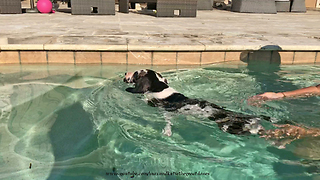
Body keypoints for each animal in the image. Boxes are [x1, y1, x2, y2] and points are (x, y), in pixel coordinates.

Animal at [122, 69, 270, 136]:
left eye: (136, 73)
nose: (125, 74)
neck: (160, 87)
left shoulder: (165, 109)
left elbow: (167, 121)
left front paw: (167, 131)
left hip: (228, 127)